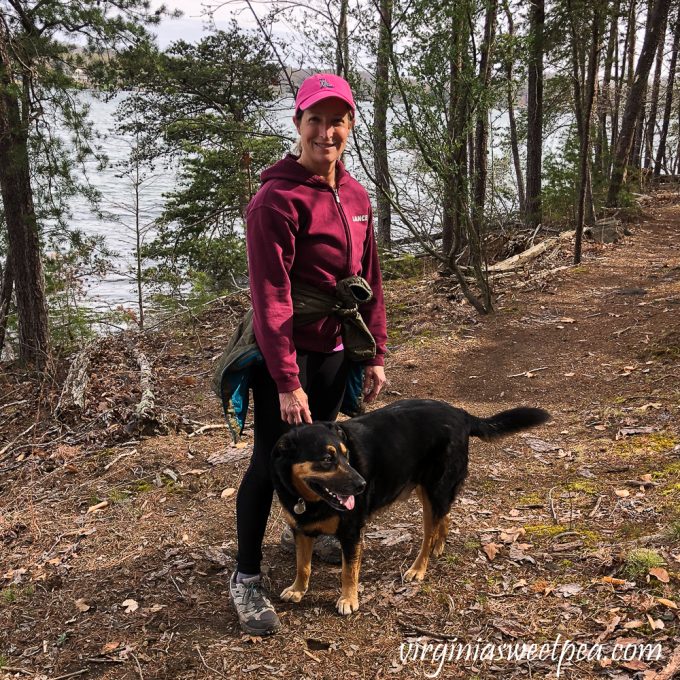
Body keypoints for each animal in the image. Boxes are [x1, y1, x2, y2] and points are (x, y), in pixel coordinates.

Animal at [270, 398, 548, 616]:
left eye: (346, 456)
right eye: (327, 459)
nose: (362, 485)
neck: (307, 499)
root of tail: (461, 413)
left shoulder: (351, 533)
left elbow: (349, 571)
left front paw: (348, 599)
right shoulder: (301, 530)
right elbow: (303, 565)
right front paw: (298, 590)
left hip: (434, 491)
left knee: (429, 533)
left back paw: (418, 568)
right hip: (431, 493)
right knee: (445, 517)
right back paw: (439, 546)